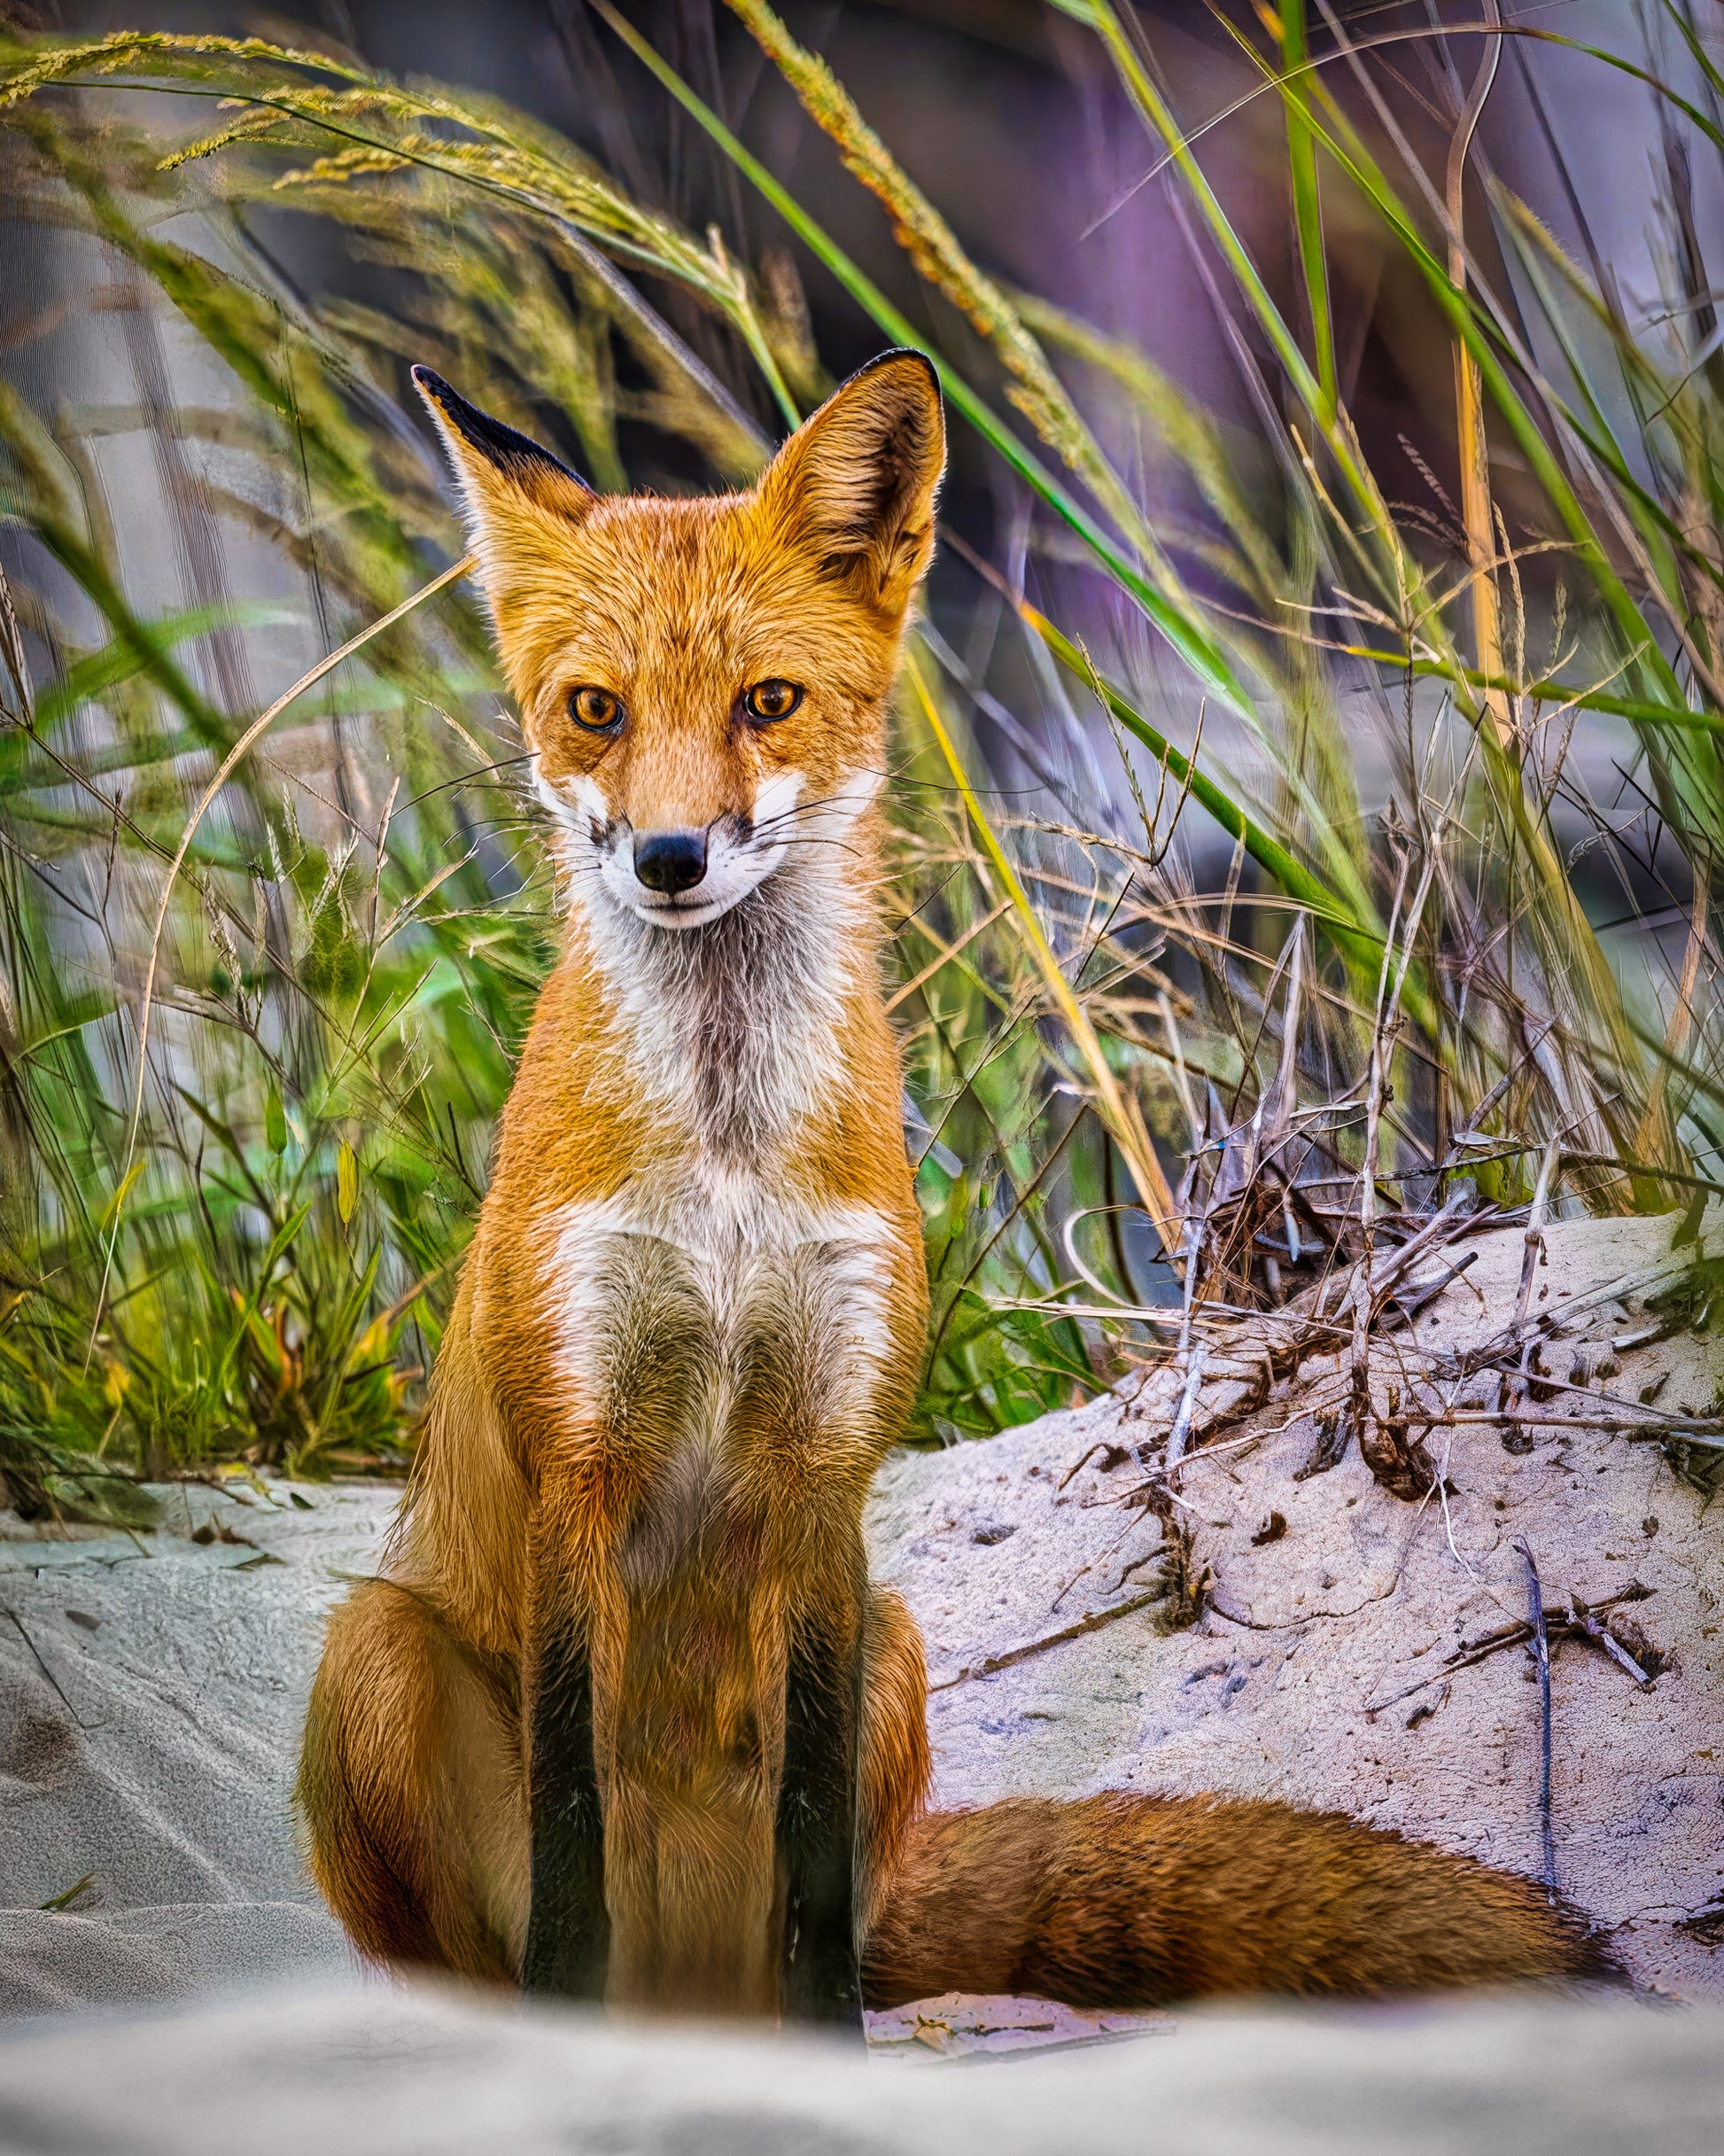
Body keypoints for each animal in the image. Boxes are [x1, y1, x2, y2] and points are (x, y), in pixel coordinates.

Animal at [296, 349, 1612, 2025]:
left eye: (767, 702)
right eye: (594, 711)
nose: (668, 856)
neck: (726, 1161)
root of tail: (687, 1973)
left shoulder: (823, 1463)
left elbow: (806, 1843)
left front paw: (828, 2053)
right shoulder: (577, 1458)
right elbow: (570, 1826)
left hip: (897, 1643)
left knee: (835, 1908)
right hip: (375, 1651)